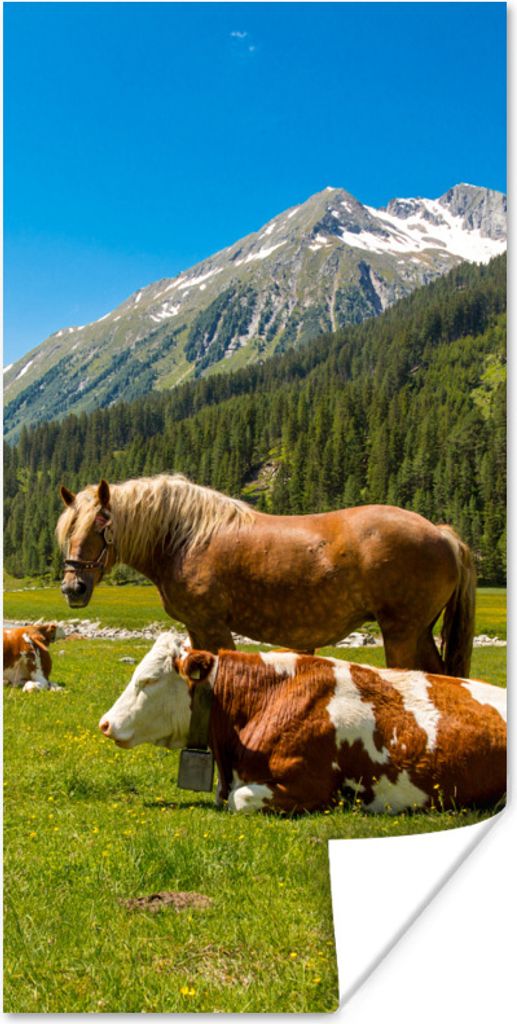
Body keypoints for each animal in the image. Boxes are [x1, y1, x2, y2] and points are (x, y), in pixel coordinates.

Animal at [57, 474, 476, 676]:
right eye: (68, 529)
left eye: (101, 524)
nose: (73, 587)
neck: (185, 538)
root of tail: (441, 533)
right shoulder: (197, 627)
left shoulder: (213, 626)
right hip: (420, 631)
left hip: (401, 632)